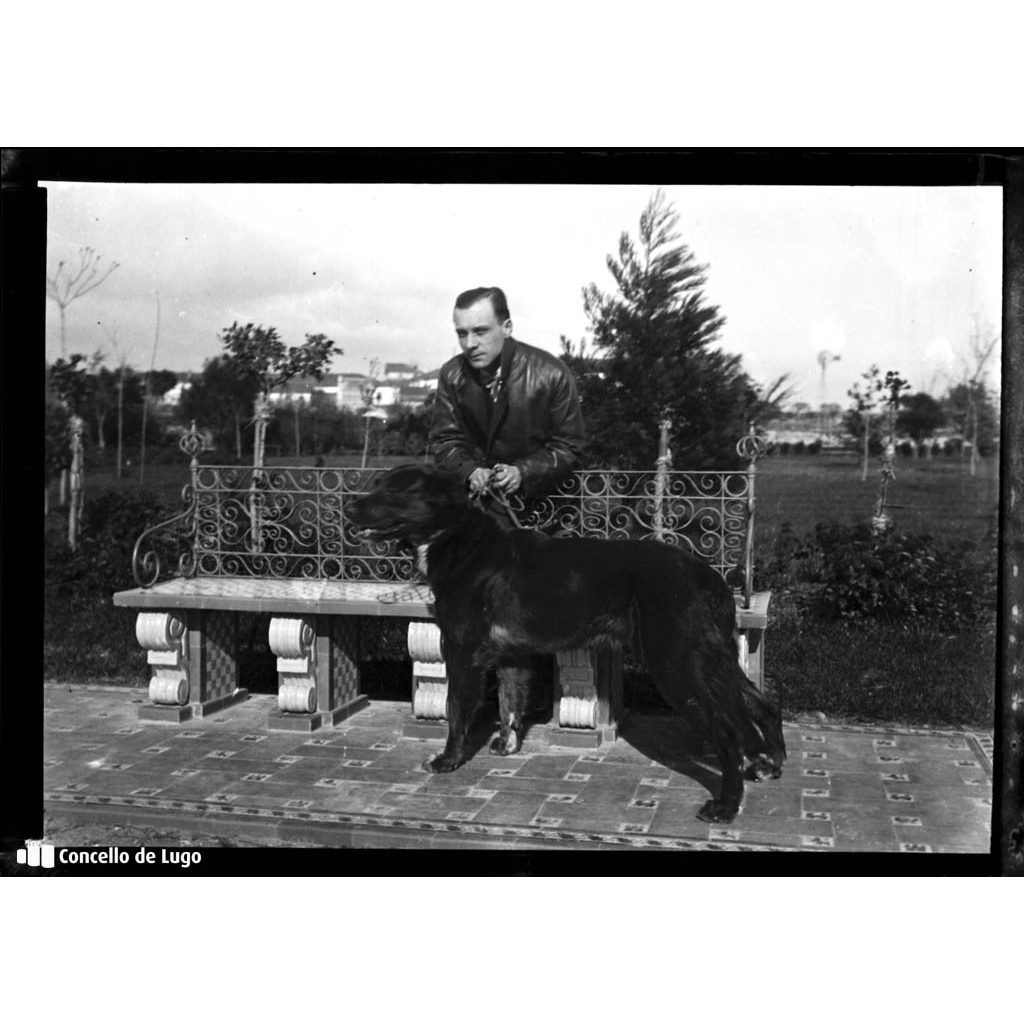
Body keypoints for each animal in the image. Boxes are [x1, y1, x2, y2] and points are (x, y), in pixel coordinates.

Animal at [348, 464, 786, 823]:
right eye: (376, 483)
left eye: (393, 489)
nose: (352, 506)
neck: (456, 535)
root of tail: (708, 577)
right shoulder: (513, 654)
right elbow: (509, 702)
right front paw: (506, 746)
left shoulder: (462, 650)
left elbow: (457, 709)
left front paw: (448, 760)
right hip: (709, 659)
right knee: (761, 706)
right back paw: (770, 764)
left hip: (675, 664)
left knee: (727, 731)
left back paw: (726, 806)